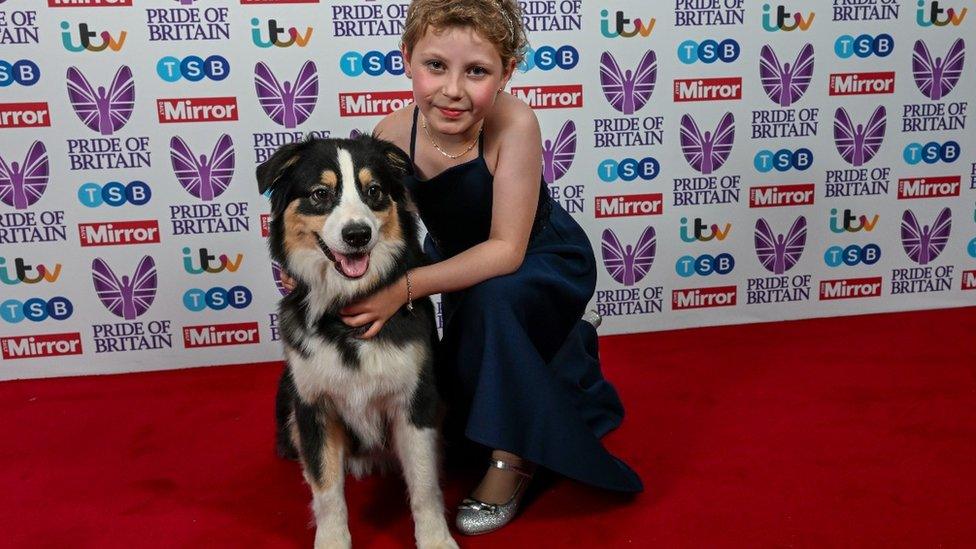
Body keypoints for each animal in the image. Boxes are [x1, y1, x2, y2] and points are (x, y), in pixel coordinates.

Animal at [260, 134, 458, 548]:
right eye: (320, 193)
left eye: (374, 191)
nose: (357, 234)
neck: (344, 313)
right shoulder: (313, 405)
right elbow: (326, 488)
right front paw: (333, 540)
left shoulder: (415, 399)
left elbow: (424, 483)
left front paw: (435, 538)